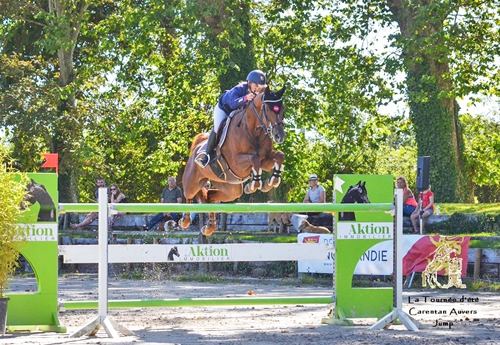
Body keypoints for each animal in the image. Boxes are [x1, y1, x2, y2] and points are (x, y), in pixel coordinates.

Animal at [182, 86, 288, 236]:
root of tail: (197, 146)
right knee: (188, 195)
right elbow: (254, 159)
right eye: (267, 109)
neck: (254, 131)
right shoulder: (237, 163)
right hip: (192, 182)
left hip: (230, 189)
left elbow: (279, 156)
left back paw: (210, 227)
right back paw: (185, 221)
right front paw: (254, 185)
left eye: (282, 108)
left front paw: (271, 182)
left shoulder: (265, 159)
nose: (279, 136)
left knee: (210, 197)